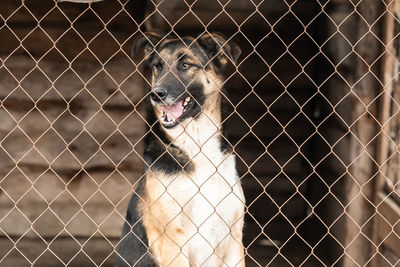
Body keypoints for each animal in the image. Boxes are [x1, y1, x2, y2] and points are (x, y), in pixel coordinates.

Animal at [115, 31, 245, 267]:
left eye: (186, 65)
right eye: (158, 66)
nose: (156, 94)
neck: (197, 144)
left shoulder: (234, 241)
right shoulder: (173, 242)